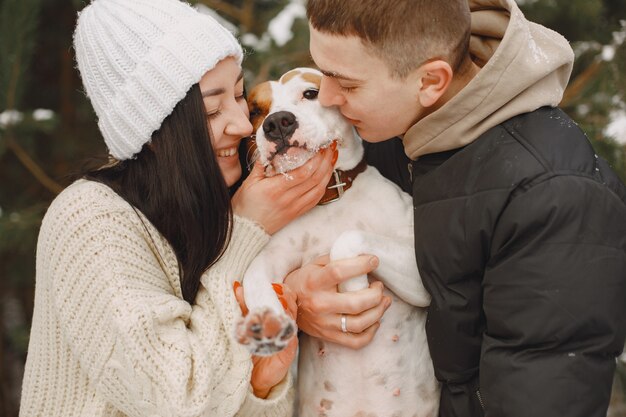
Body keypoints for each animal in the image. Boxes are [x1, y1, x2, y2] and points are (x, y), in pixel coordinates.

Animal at [236, 68, 436, 416]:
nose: (276, 123)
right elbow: (254, 274)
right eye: (255, 110)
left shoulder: (419, 276)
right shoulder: (274, 254)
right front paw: (269, 317)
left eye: (311, 93)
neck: (330, 197)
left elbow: (349, 237)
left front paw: (353, 289)